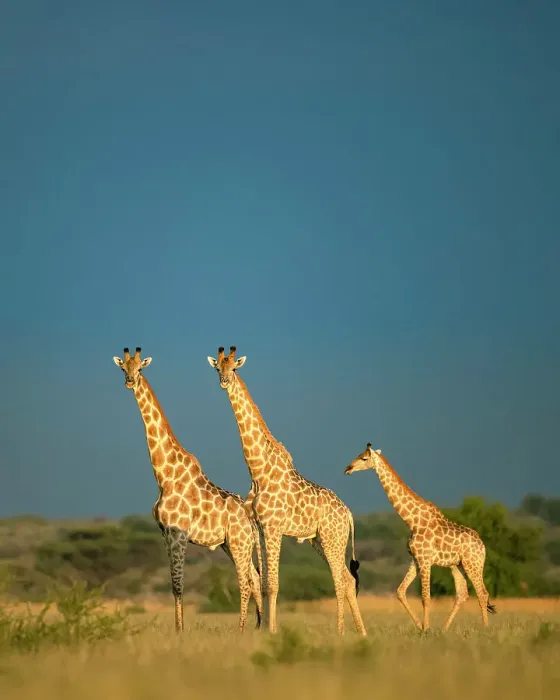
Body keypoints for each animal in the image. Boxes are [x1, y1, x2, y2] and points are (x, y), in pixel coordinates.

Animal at [113, 347, 262, 633]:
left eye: (140, 368)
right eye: (123, 368)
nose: (129, 381)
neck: (164, 476)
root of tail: (249, 517)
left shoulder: (179, 533)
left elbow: (178, 584)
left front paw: (180, 632)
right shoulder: (165, 534)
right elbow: (174, 585)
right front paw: (177, 629)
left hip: (238, 542)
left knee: (245, 581)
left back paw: (241, 629)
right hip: (233, 543)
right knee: (255, 577)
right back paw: (258, 627)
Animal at [207, 346, 367, 636]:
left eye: (234, 367)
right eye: (217, 368)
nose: (224, 381)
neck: (258, 471)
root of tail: (348, 513)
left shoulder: (274, 527)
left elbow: (273, 584)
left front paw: (272, 631)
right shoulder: (261, 528)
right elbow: (263, 582)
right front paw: (265, 630)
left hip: (332, 539)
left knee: (340, 579)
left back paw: (340, 631)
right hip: (320, 540)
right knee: (348, 579)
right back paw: (361, 632)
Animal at [344, 443, 497, 631]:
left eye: (364, 458)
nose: (348, 468)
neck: (412, 520)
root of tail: (482, 546)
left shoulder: (425, 559)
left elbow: (425, 597)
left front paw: (426, 628)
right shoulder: (416, 559)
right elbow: (400, 591)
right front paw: (420, 626)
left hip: (473, 563)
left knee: (482, 593)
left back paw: (485, 628)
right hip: (457, 565)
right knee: (463, 594)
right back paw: (444, 629)